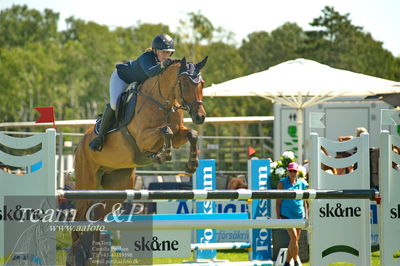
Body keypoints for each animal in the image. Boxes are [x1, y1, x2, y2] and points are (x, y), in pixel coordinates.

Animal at [69, 57, 208, 264]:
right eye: (184, 83)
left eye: (202, 84)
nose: (200, 117)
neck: (163, 102)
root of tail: (80, 144)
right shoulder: (144, 138)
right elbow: (165, 131)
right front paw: (163, 155)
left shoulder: (178, 135)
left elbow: (191, 134)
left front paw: (191, 164)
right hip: (86, 184)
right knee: (77, 221)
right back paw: (75, 256)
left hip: (117, 189)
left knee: (96, 218)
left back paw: (94, 256)